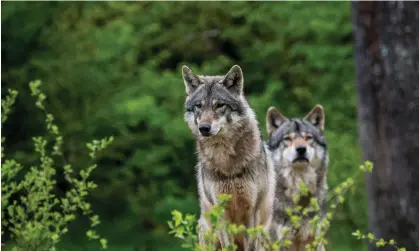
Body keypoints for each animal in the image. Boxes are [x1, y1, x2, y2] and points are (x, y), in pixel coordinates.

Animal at [183, 65, 276, 251]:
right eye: (198, 106)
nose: (204, 128)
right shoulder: (221, 213)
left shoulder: (251, 210)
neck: (227, 163)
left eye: (220, 105)